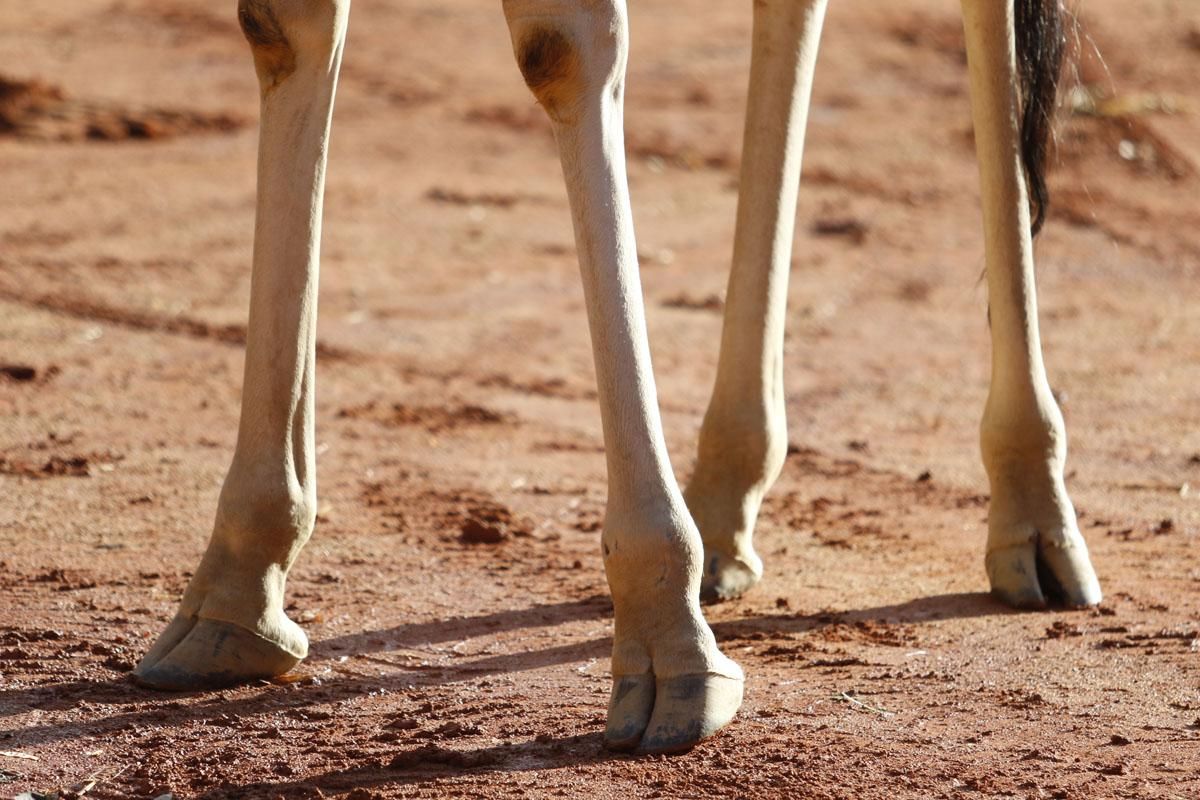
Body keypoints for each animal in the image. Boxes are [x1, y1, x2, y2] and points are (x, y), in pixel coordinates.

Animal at [129, 0, 1099, 758]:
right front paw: (233, 594)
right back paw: (725, 503)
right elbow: (280, 28)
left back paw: (1034, 514)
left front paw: (671, 657)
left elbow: (558, 47)